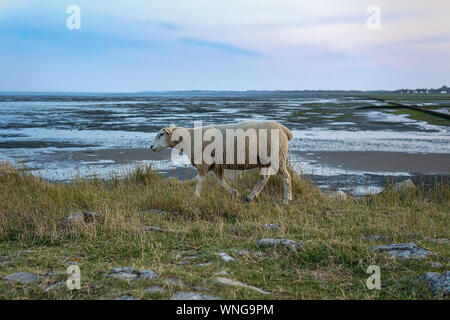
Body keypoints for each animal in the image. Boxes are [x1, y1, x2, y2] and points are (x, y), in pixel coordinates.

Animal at [149, 121, 294, 204]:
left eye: (161, 134)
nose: (151, 147)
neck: (188, 138)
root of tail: (285, 130)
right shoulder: (216, 164)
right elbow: (220, 181)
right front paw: (234, 193)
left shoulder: (203, 162)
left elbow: (200, 180)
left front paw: (195, 196)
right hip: (266, 160)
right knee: (264, 178)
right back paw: (250, 197)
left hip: (277, 157)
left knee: (286, 178)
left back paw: (286, 200)